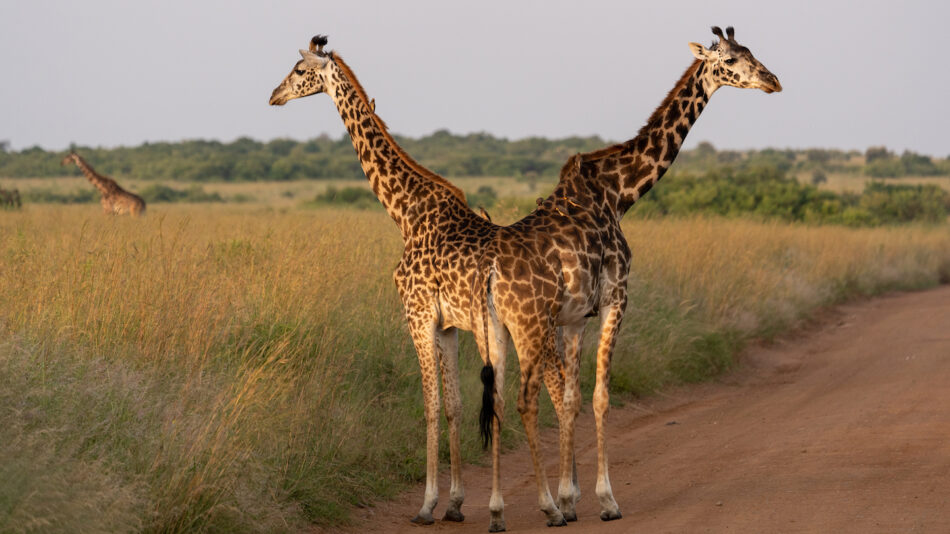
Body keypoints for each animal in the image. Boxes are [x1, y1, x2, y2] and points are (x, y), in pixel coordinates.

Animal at [472, 26, 784, 532]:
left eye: (751, 52)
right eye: (731, 60)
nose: (773, 81)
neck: (619, 194)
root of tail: (492, 271)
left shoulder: (575, 318)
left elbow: (573, 399)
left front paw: (572, 497)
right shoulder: (616, 299)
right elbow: (600, 396)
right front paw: (603, 500)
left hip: (495, 329)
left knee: (498, 401)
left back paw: (499, 511)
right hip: (529, 325)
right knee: (523, 401)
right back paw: (544, 507)